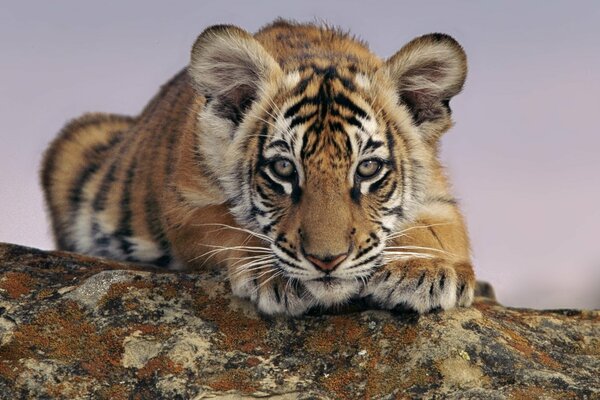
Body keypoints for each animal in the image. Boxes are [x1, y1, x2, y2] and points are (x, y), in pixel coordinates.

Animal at [39, 20, 476, 316]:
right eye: (283, 168)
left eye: (367, 169)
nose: (327, 261)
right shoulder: (185, 204)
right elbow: (228, 225)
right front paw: (275, 275)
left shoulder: (439, 198)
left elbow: (438, 232)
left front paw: (423, 269)